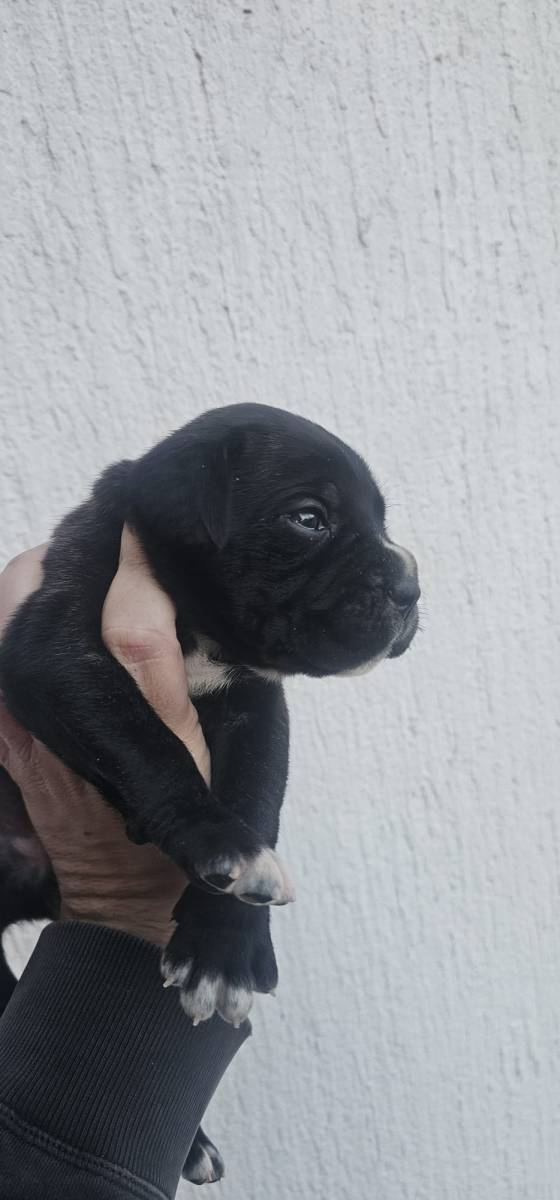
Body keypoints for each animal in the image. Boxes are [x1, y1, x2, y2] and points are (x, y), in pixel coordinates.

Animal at [0, 402, 420, 1183]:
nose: (411, 588)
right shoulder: (57, 650)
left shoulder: (257, 704)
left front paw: (225, 947)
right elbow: (146, 742)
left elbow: (256, 797)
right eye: (309, 518)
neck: (199, 629)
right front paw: (225, 845)